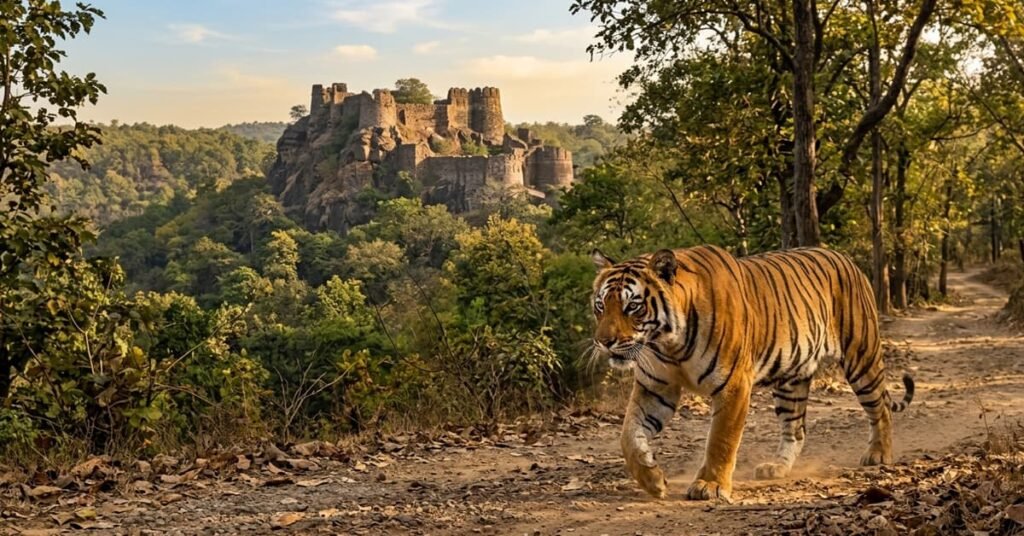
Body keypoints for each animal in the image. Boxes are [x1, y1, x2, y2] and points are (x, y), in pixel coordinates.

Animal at [590, 245, 914, 501]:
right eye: (600, 305)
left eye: (633, 306)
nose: (603, 341)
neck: (668, 344)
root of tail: (845, 257)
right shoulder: (655, 388)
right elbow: (628, 436)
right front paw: (652, 479)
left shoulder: (732, 385)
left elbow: (721, 439)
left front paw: (710, 485)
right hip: (791, 380)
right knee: (796, 429)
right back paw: (777, 468)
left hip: (862, 357)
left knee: (880, 408)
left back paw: (878, 454)